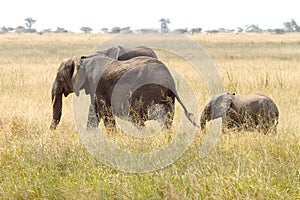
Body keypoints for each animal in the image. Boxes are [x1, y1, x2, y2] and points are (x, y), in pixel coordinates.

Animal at [50, 54, 198, 130]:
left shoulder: (98, 86)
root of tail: (170, 81)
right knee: (166, 120)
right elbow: (94, 113)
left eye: (59, 77)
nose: (51, 131)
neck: (83, 60)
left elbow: (104, 112)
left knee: (141, 118)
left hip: (147, 92)